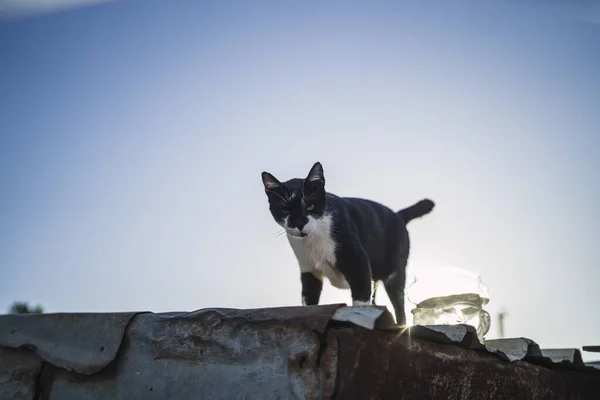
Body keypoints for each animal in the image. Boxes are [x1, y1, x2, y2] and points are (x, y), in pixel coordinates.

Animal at [260, 160, 434, 324]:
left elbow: (360, 300)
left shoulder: (357, 260)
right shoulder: (308, 269)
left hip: (394, 271)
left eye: (309, 206)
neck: (314, 239)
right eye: (285, 210)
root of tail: (398, 215)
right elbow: (308, 300)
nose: (299, 224)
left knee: (399, 306)